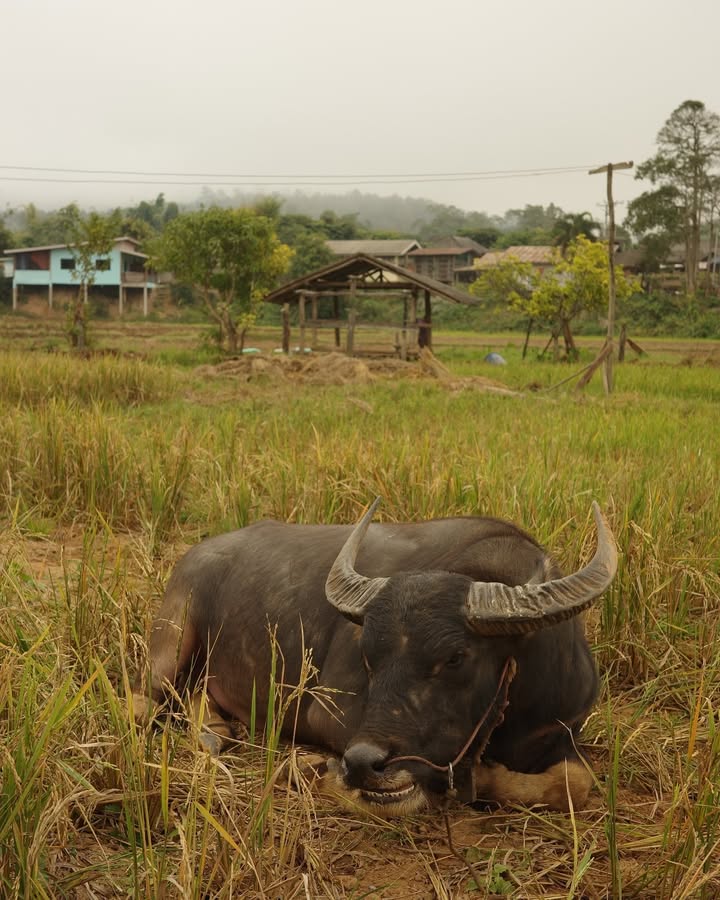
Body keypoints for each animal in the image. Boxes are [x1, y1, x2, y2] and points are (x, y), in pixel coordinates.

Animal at [132, 500, 616, 816]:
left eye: (456, 657)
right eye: (369, 656)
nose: (365, 762)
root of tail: (196, 555)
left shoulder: (564, 732)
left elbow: (574, 784)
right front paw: (313, 770)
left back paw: (216, 732)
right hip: (172, 639)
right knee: (146, 698)